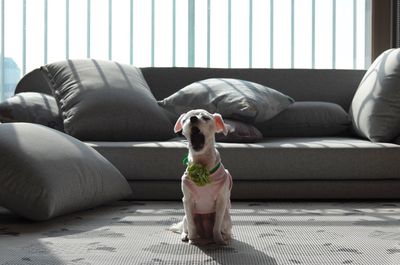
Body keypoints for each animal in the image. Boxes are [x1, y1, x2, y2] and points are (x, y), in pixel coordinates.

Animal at [170, 108, 233, 244]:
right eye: (184, 120)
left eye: (205, 118)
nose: (193, 118)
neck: (202, 165)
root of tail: (205, 234)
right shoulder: (187, 201)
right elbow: (192, 225)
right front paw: (193, 240)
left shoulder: (221, 201)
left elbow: (217, 226)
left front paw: (219, 241)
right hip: (186, 217)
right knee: (186, 226)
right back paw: (186, 235)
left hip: (226, 218)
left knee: (224, 229)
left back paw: (224, 237)